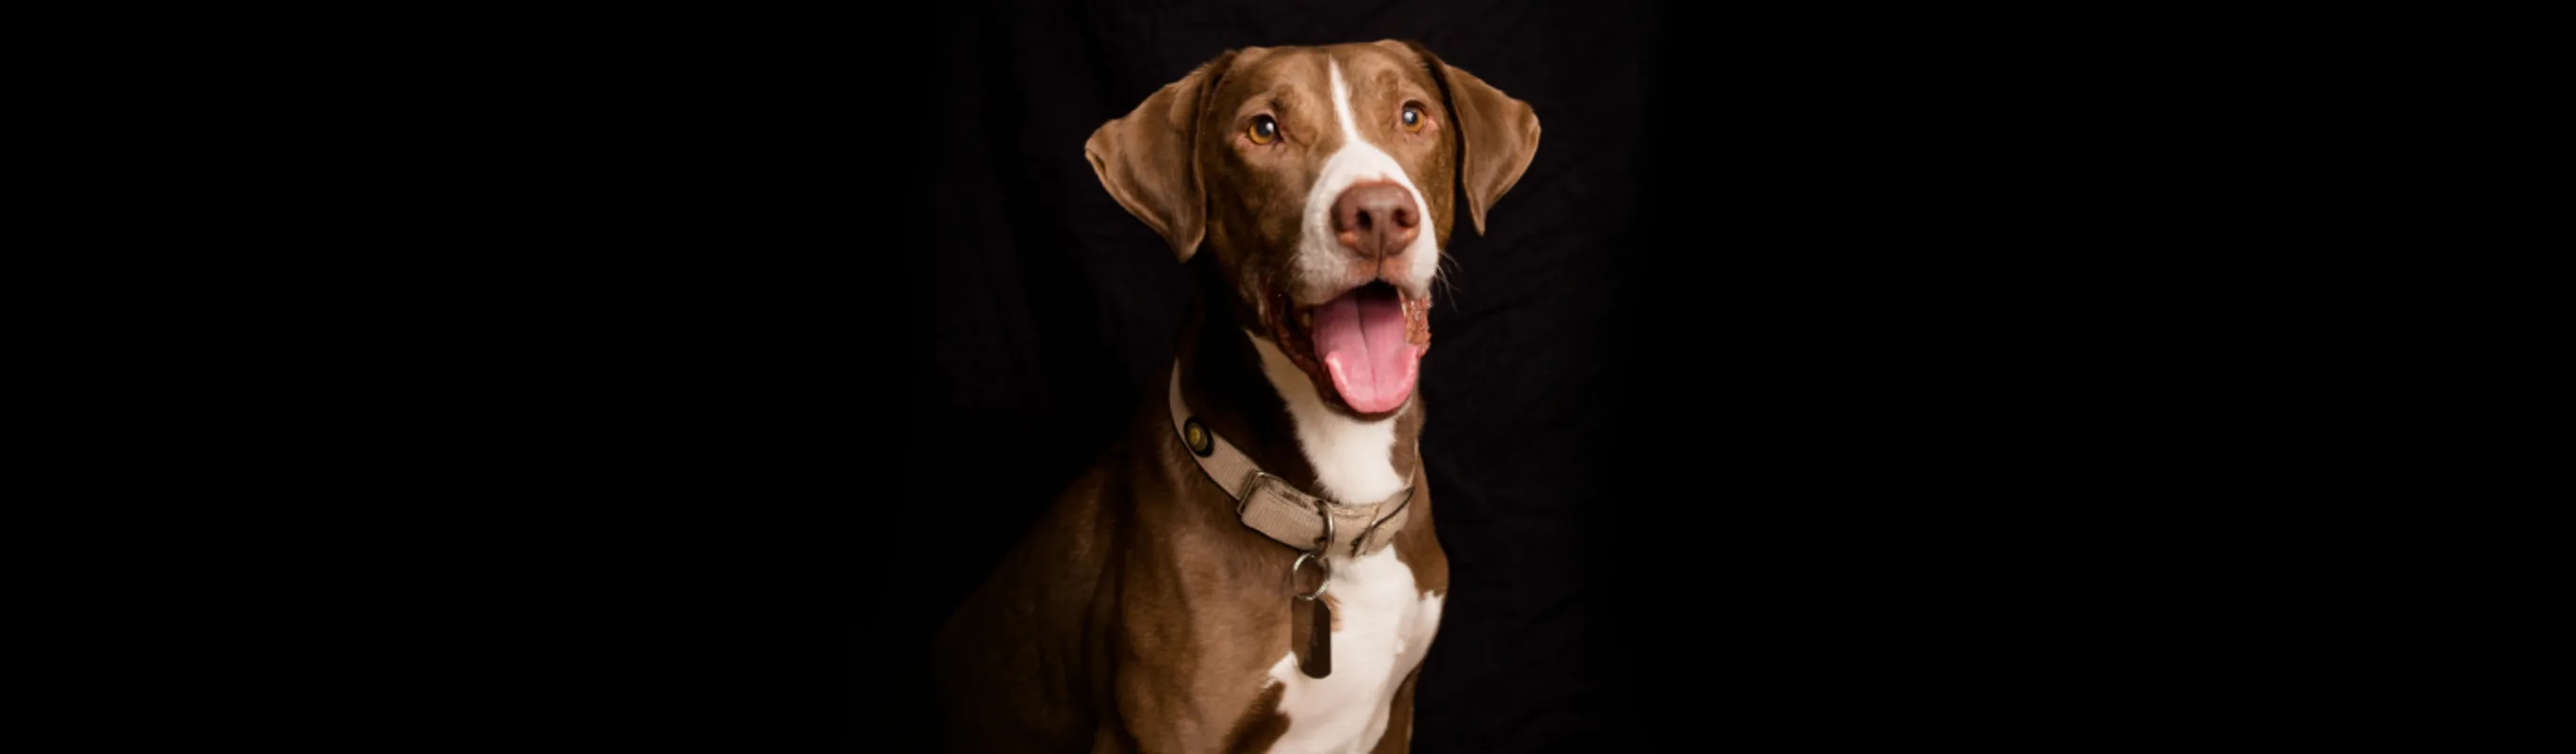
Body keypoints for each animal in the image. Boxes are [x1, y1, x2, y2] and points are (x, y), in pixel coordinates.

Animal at [937, 42, 1535, 751]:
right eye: (1263, 129)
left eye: (1412, 115)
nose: (1379, 215)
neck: (1333, 511)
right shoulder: (1169, 729)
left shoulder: (1396, 715)